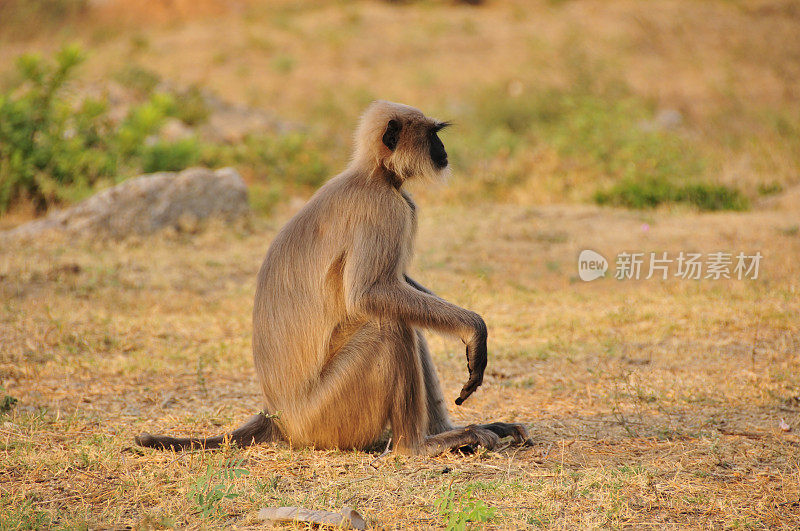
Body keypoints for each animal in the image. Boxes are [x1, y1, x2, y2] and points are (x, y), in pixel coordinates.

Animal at [135, 101, 536, 458]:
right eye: (433, 136)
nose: (443, 151)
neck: (374, 175)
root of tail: (278, 416)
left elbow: (397, 283)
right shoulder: (383, 208)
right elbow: (368, 294)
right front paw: (475, 329)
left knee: (405, 320)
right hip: (325, 416)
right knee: (388, 327)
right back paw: (418, 446)